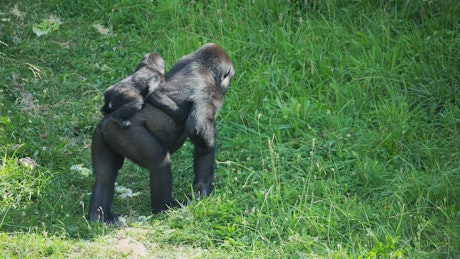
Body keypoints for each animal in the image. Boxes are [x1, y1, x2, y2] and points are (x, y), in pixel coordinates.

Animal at [88, 43, 235, 223]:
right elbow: (199, 130)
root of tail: (108, 123)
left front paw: (202, 190)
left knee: (105, 175)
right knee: (159, 162)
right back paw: (163, 207)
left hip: (100, 134)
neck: (202, 66)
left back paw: (99, 217)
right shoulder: (212, 93)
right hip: (121, 133)